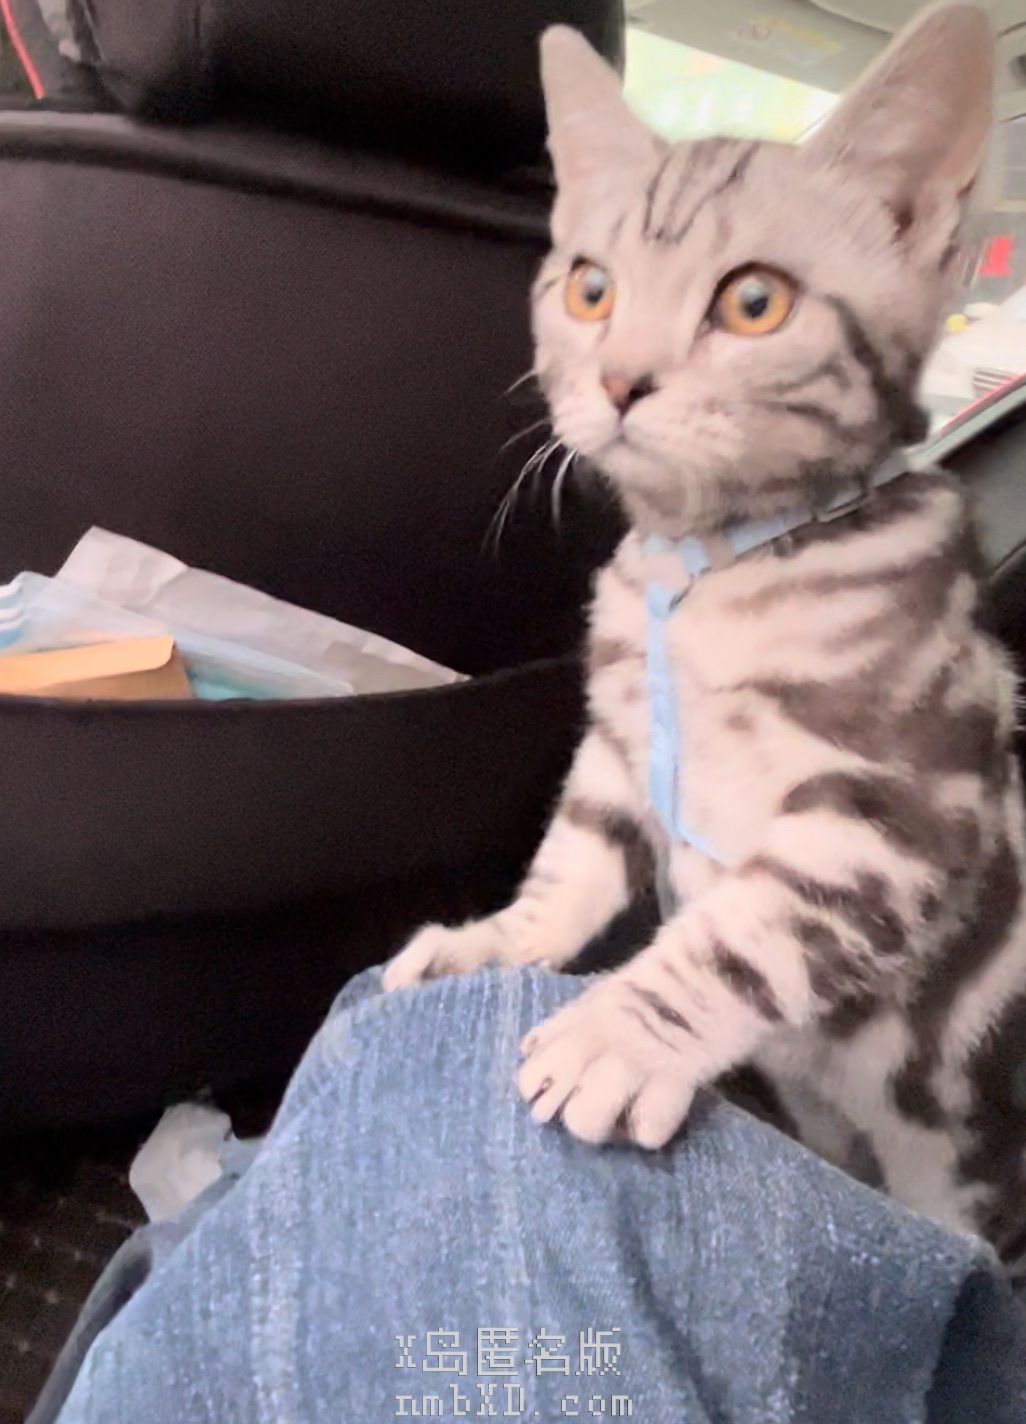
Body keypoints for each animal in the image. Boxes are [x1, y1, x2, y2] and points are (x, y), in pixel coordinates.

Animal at [384, 4, 1026, 1263]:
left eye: (754, 303)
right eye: (589, 289)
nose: (622, 380)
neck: (709, 566)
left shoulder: (900, 815)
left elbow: (744, 935)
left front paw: (618, 1034)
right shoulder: (623, 742)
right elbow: (574, 861)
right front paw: (499, 942)